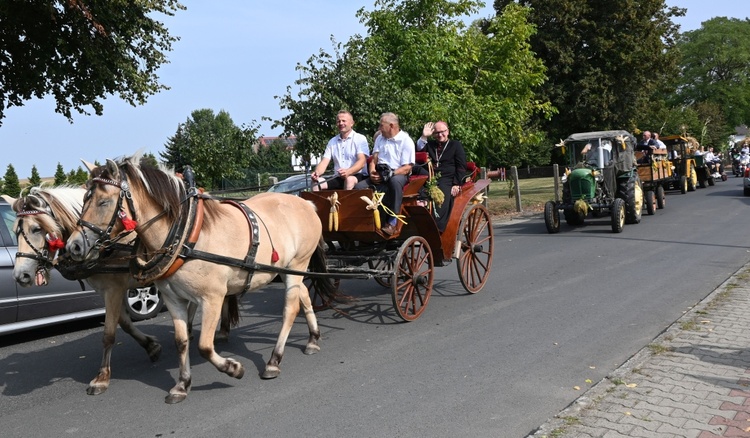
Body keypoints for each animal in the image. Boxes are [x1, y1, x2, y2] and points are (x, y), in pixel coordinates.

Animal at [8, 185, 238, 396]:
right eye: (16, 231)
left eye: (36, 229)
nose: (21, 275)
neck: (104, 246)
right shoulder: (107, 291)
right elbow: (124, 323)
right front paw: (151, 346)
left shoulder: (114, 289)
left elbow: (109, 333)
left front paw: (102, 378)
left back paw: (219, 330)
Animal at [64, 155, 340, 404]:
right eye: (85, 200)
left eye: (103, 201)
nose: (74, 246)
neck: (185, 235)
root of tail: (305, 203)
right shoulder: (173, 299)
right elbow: (182, 341)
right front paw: (182, 385)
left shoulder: (212, 298)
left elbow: (205, 346)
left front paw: (233, 368)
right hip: (288, 268)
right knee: (303, 296)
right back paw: (313, 339)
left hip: (297, 264)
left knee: (290, 309)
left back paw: (274, 360)